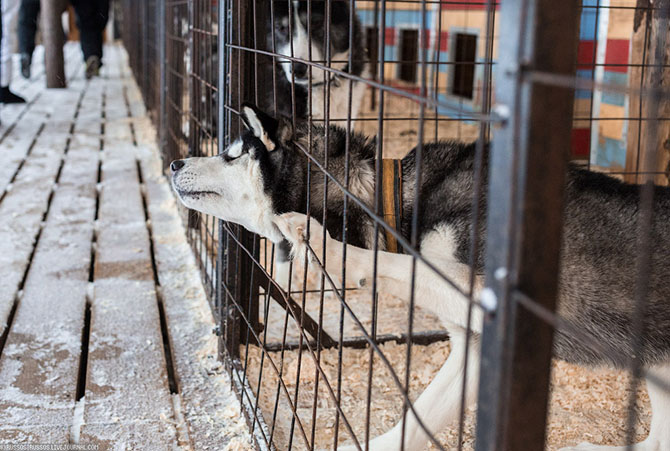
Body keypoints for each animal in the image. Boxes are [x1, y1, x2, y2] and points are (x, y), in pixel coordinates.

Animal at [173, 105, 670, 448]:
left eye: (232, 155)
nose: (176, 163)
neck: (394, 201)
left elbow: (398, 264)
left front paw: (330, 251)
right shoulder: (474, 346)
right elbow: (418, 418)